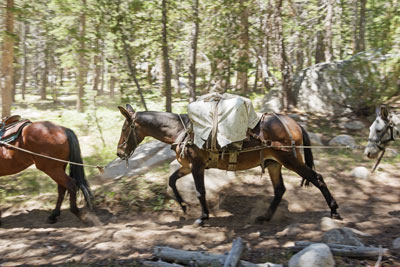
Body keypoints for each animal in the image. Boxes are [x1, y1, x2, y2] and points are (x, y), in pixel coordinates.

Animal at [116, 104, 340, 226]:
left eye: (125, 128)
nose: (119, 152)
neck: (182, 130)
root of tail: (294, 123)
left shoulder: (196, 167)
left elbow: (200, 191)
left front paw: (203, 216)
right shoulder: (187, 167)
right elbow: (172, 180)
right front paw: (183, 206)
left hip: (290, 160)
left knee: (317, 178)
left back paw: (334, 210)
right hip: (274, 164)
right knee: (280, 189)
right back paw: (265, 217)